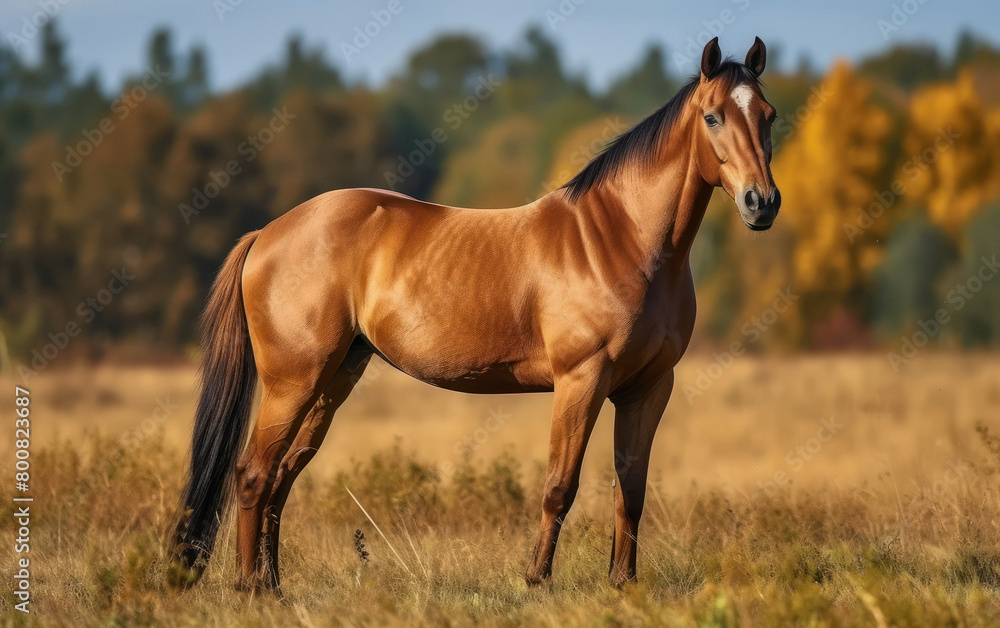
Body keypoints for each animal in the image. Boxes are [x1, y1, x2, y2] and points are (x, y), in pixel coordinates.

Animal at [171, 36, 781, 592]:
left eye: (768, 115)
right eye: (712, 116)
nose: (762, 203)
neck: (625, 240)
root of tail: (267, 233)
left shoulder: (649, 388)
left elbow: (630, 489)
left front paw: (623, 585)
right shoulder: (581, 381)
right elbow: (560, 485)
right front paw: (537, 581)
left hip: (333, 378)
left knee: (282, 475)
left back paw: (272, 585)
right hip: (291, 381)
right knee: (253, 474)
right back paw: (250, 588)